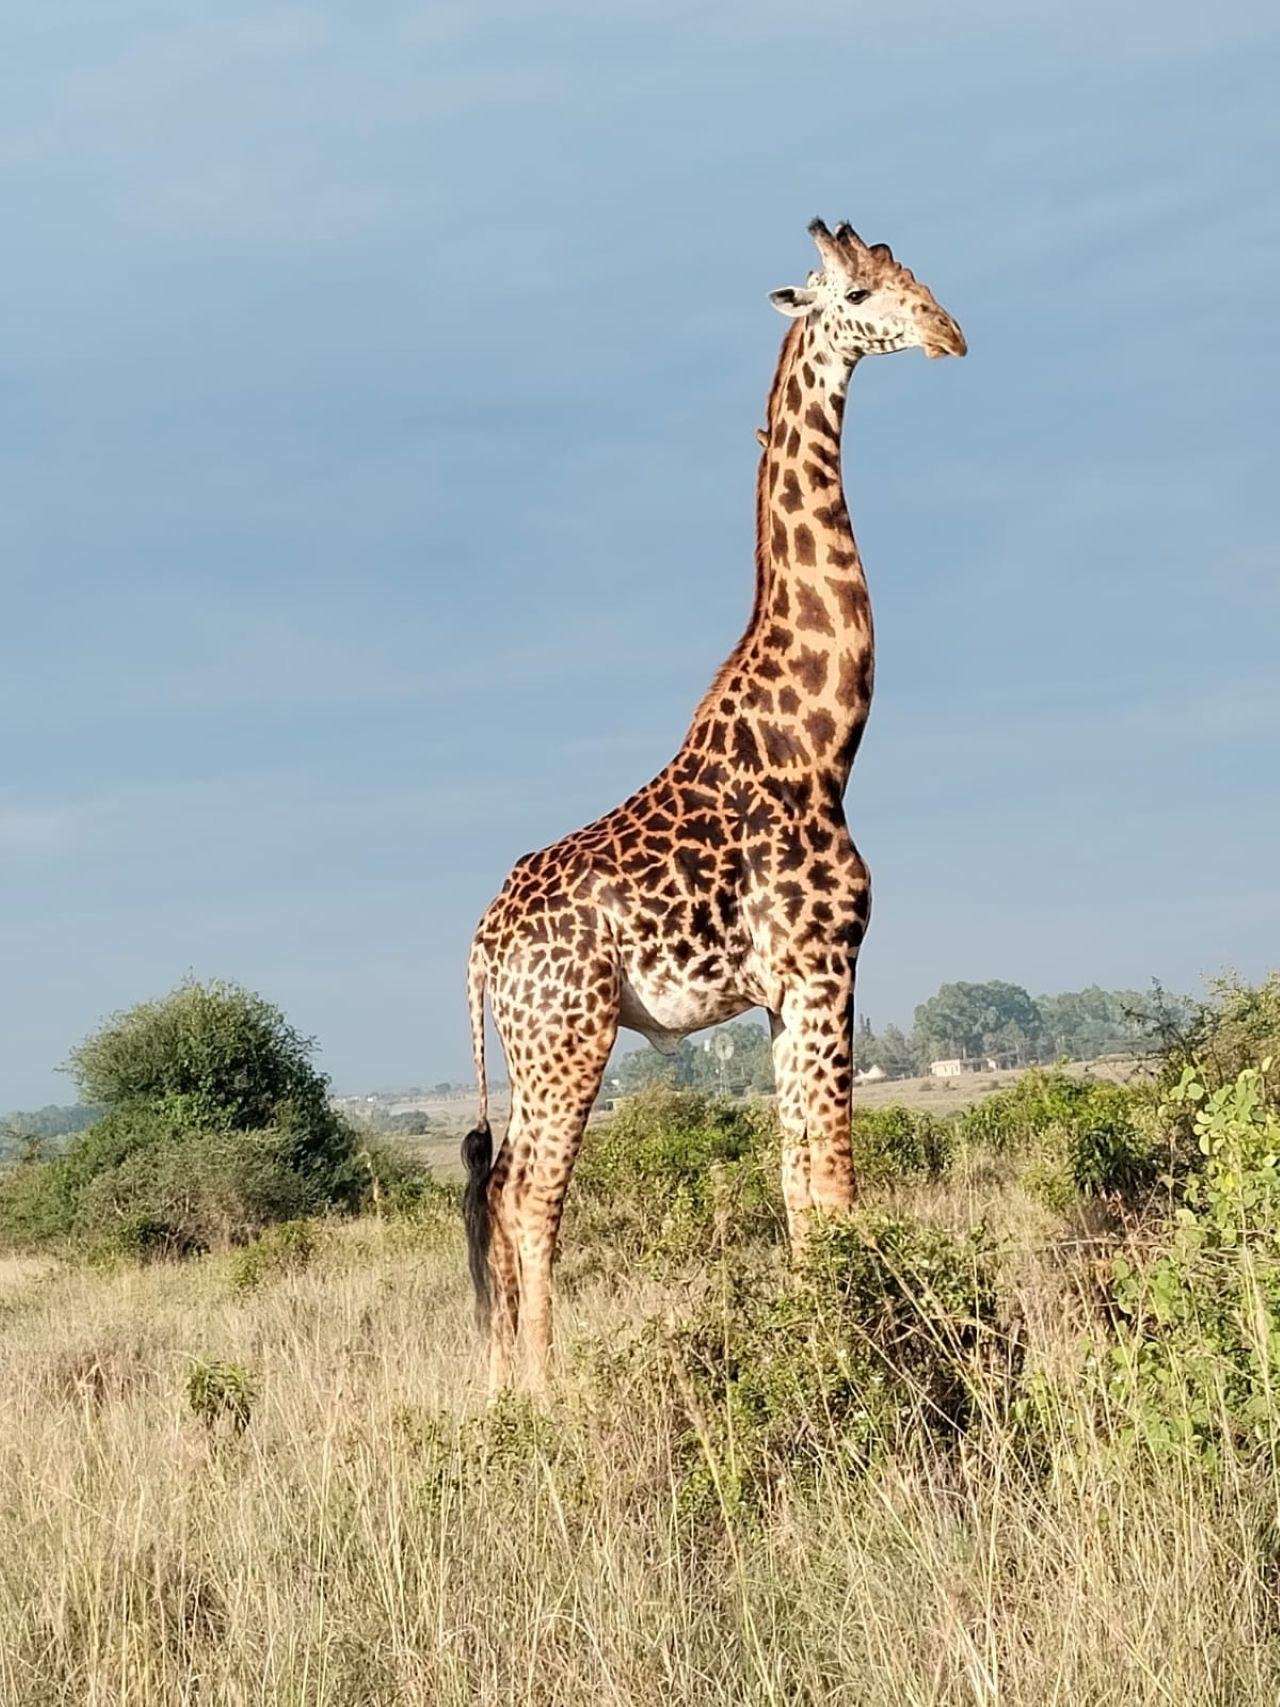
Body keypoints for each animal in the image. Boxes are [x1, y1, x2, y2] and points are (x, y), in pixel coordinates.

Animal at [462, 219, 966, 1390]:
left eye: (916, 279)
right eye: (861, 292)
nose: (949, 335)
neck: (823, 742)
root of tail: (481, 943)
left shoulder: (786, 992)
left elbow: (797, 1188)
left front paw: (820, 1331)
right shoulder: (824, 963)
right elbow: (833, 1182)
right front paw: (847, 1344)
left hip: (533, 1046)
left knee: (493, 1193)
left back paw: (501, 1382)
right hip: (569, 1034)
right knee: (528, 1196)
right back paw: (544, 1391)